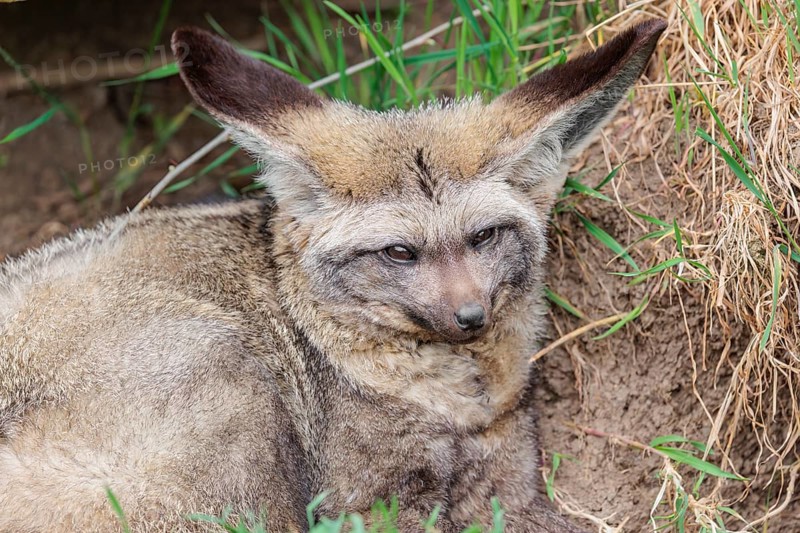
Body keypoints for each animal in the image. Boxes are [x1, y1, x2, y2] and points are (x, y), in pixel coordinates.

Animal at [0, 19, 666, 533]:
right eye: (399, 253)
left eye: (483, 237)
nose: (471, 318)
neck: (453, 399)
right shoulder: (368, 502)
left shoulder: (507, 478)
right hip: (229, 381)